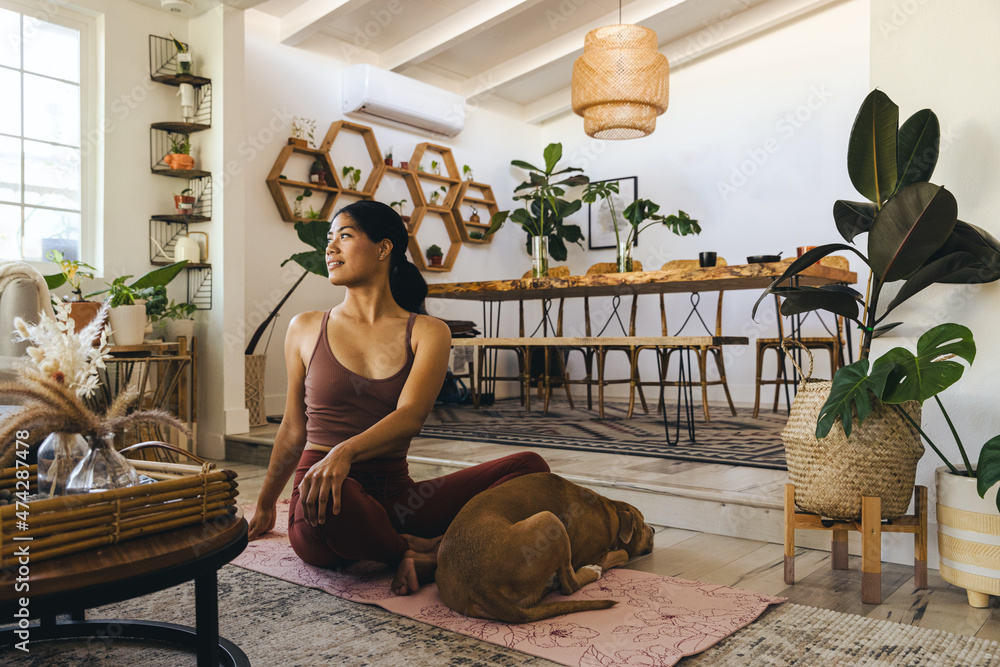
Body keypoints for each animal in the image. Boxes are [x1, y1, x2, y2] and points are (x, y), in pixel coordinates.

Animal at [438, 472, 656, 624]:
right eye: (643, 523)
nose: (654, 529)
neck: (608, 510)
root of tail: (478, 585)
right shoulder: (596, 554)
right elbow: (623, 554)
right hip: (549, 519)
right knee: (570, 585)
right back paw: (589, 573)